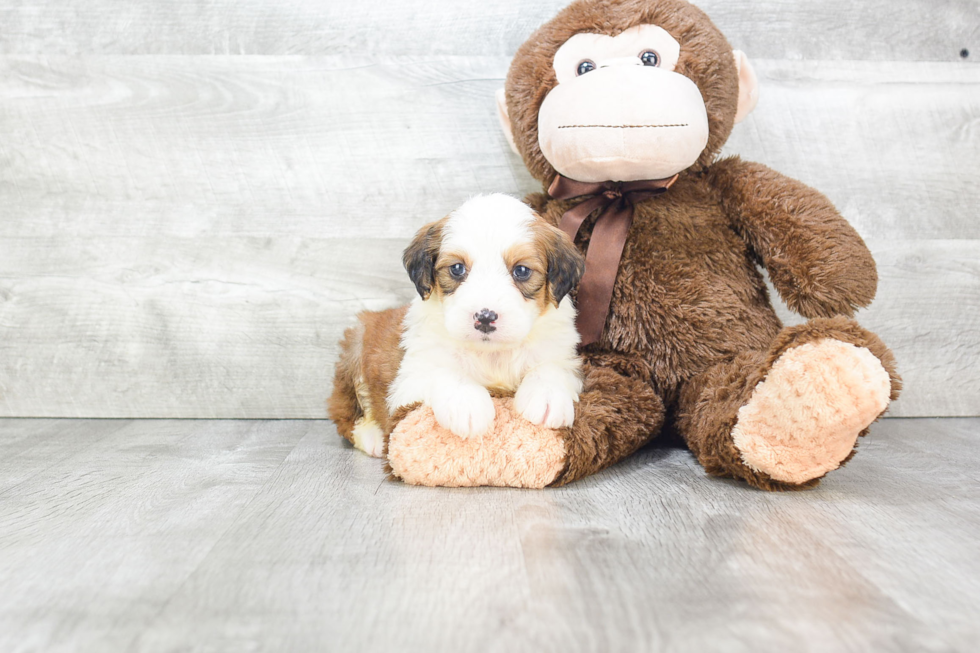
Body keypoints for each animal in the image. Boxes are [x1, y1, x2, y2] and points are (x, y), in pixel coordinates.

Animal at [334, 194, 584, 456]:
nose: (485, 317)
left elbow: (551, 366)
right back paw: (372, 437)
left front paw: (547, 395)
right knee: (346, 415)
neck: (491, 353)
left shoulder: (563, 354)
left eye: (522, 270)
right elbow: (443, 371)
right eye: (457, 269)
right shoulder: (407, 383)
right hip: (355, 351)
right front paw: (467, 403)